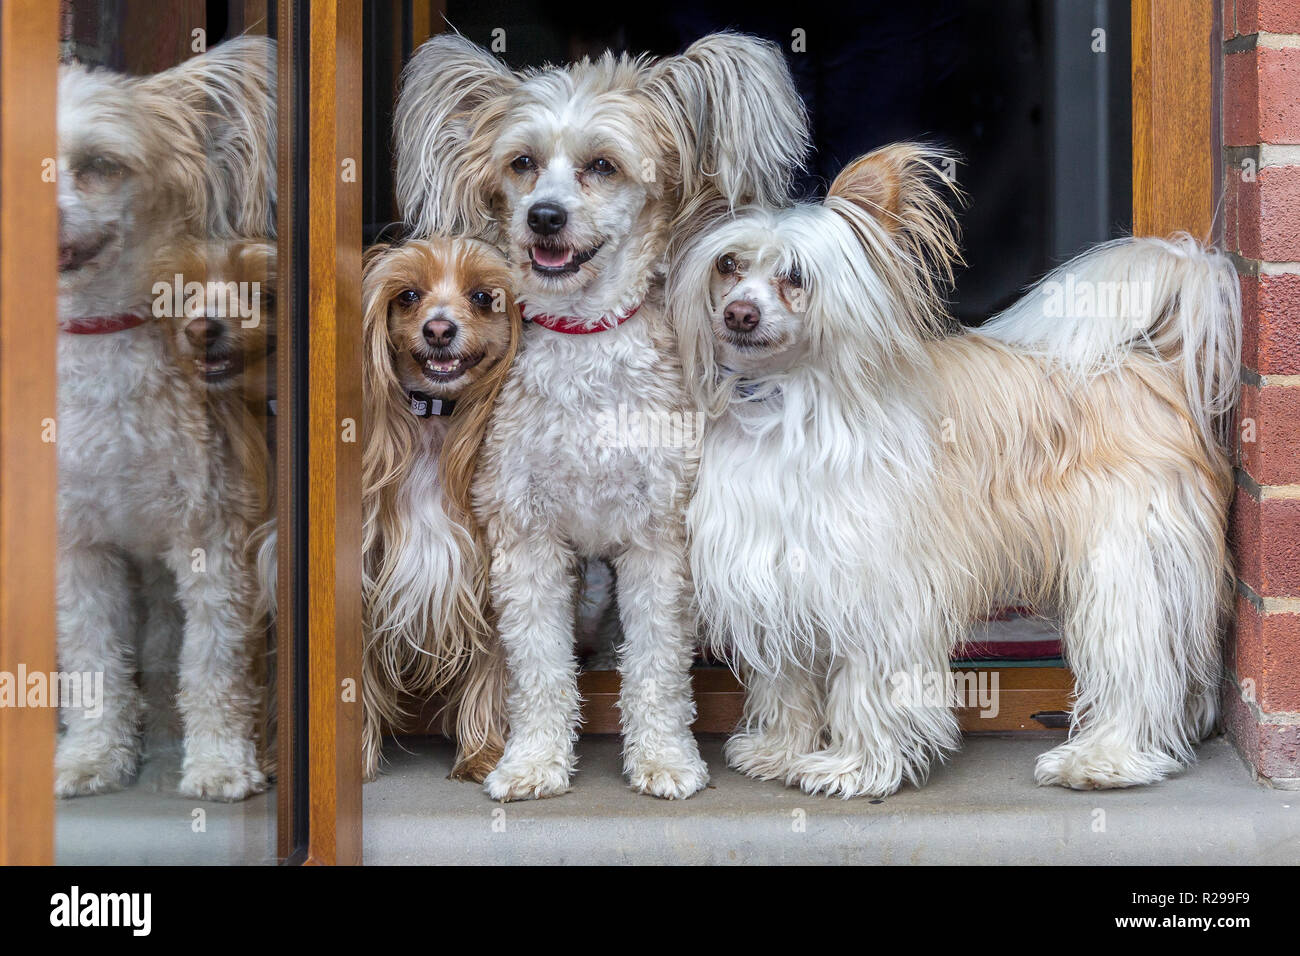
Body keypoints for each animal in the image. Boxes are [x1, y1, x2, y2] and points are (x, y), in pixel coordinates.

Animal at [55, 37, 276, 801]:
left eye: (99, 164)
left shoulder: (213, 537)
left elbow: (213, 665)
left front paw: (220, 763)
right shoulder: (81, 550)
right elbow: (92, 663)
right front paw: (94, 755)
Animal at [361, 239, 522, 785]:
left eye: (483, 297)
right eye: (409, 295)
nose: (438, 329)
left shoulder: (488, 585)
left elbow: (490, 678)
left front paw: (481, 755)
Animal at [390, 31, 806, 801]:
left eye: (602, 166)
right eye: (522, 163)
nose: (544, 216)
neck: (582, 338)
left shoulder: (658, 544)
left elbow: (658, 667)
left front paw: (665, 758)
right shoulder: (525, 540)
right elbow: (539, 669)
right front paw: (532, 762)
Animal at [670, 143, 1237, 801]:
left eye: (797, 276)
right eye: (728, 264)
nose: (739, 314)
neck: (789, 406)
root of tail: (1155, 366)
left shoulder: (878, 585)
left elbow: (865, 683)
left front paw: (854, 767)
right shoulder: (774, 569)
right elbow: (787, 677)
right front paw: (782, 750)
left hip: (1125, 564)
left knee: (1138, 669)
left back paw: (1105, 757)